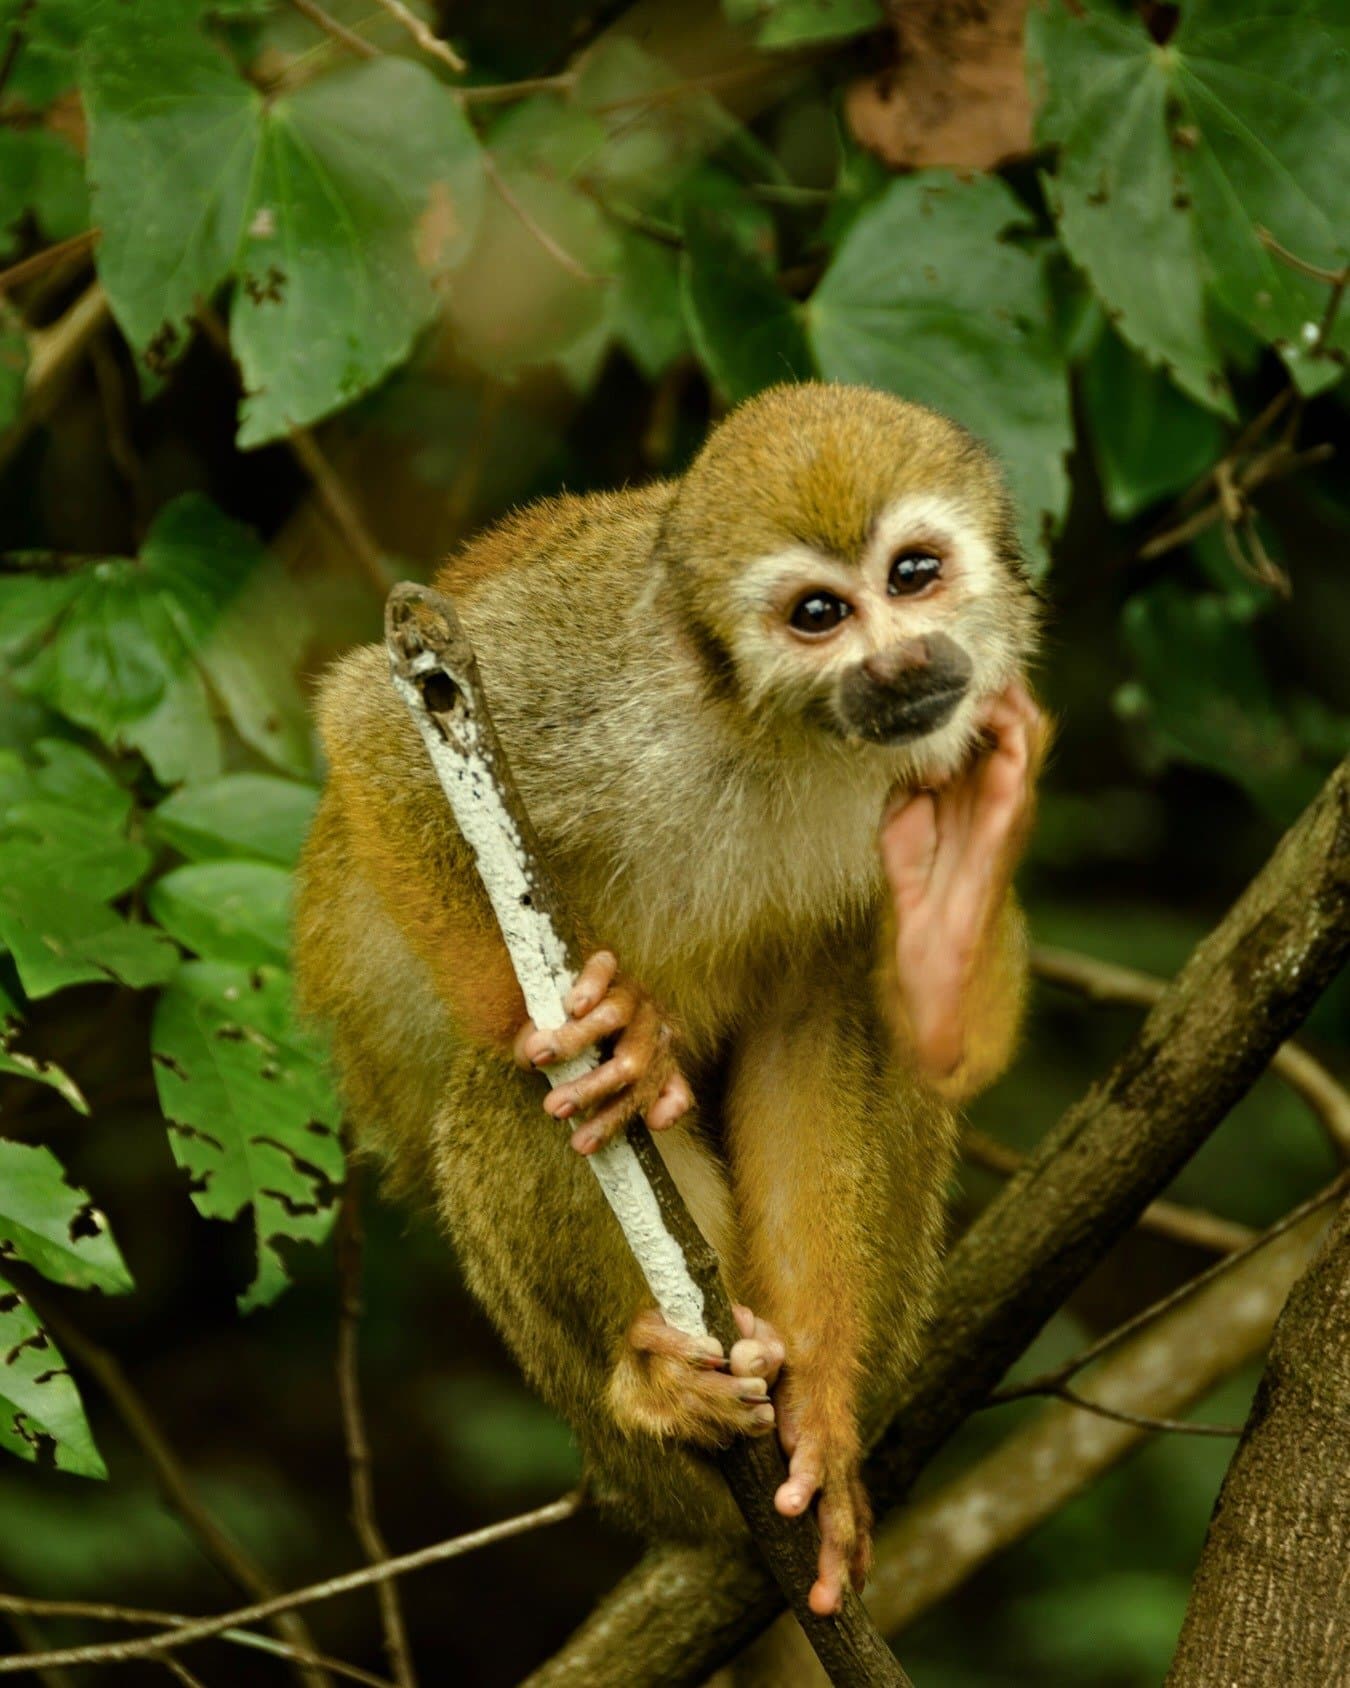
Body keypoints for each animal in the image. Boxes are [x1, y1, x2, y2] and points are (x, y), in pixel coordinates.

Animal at [294, 381, 1045, 1623]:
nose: (902, 665)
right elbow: (376, 722)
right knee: (507, 1090)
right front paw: (595, 1036)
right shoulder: (592, 676)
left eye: (915, 575)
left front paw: (821, 1420)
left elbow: (850, 1033)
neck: (778, 726)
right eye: (819, 612)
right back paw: (650, 1383)